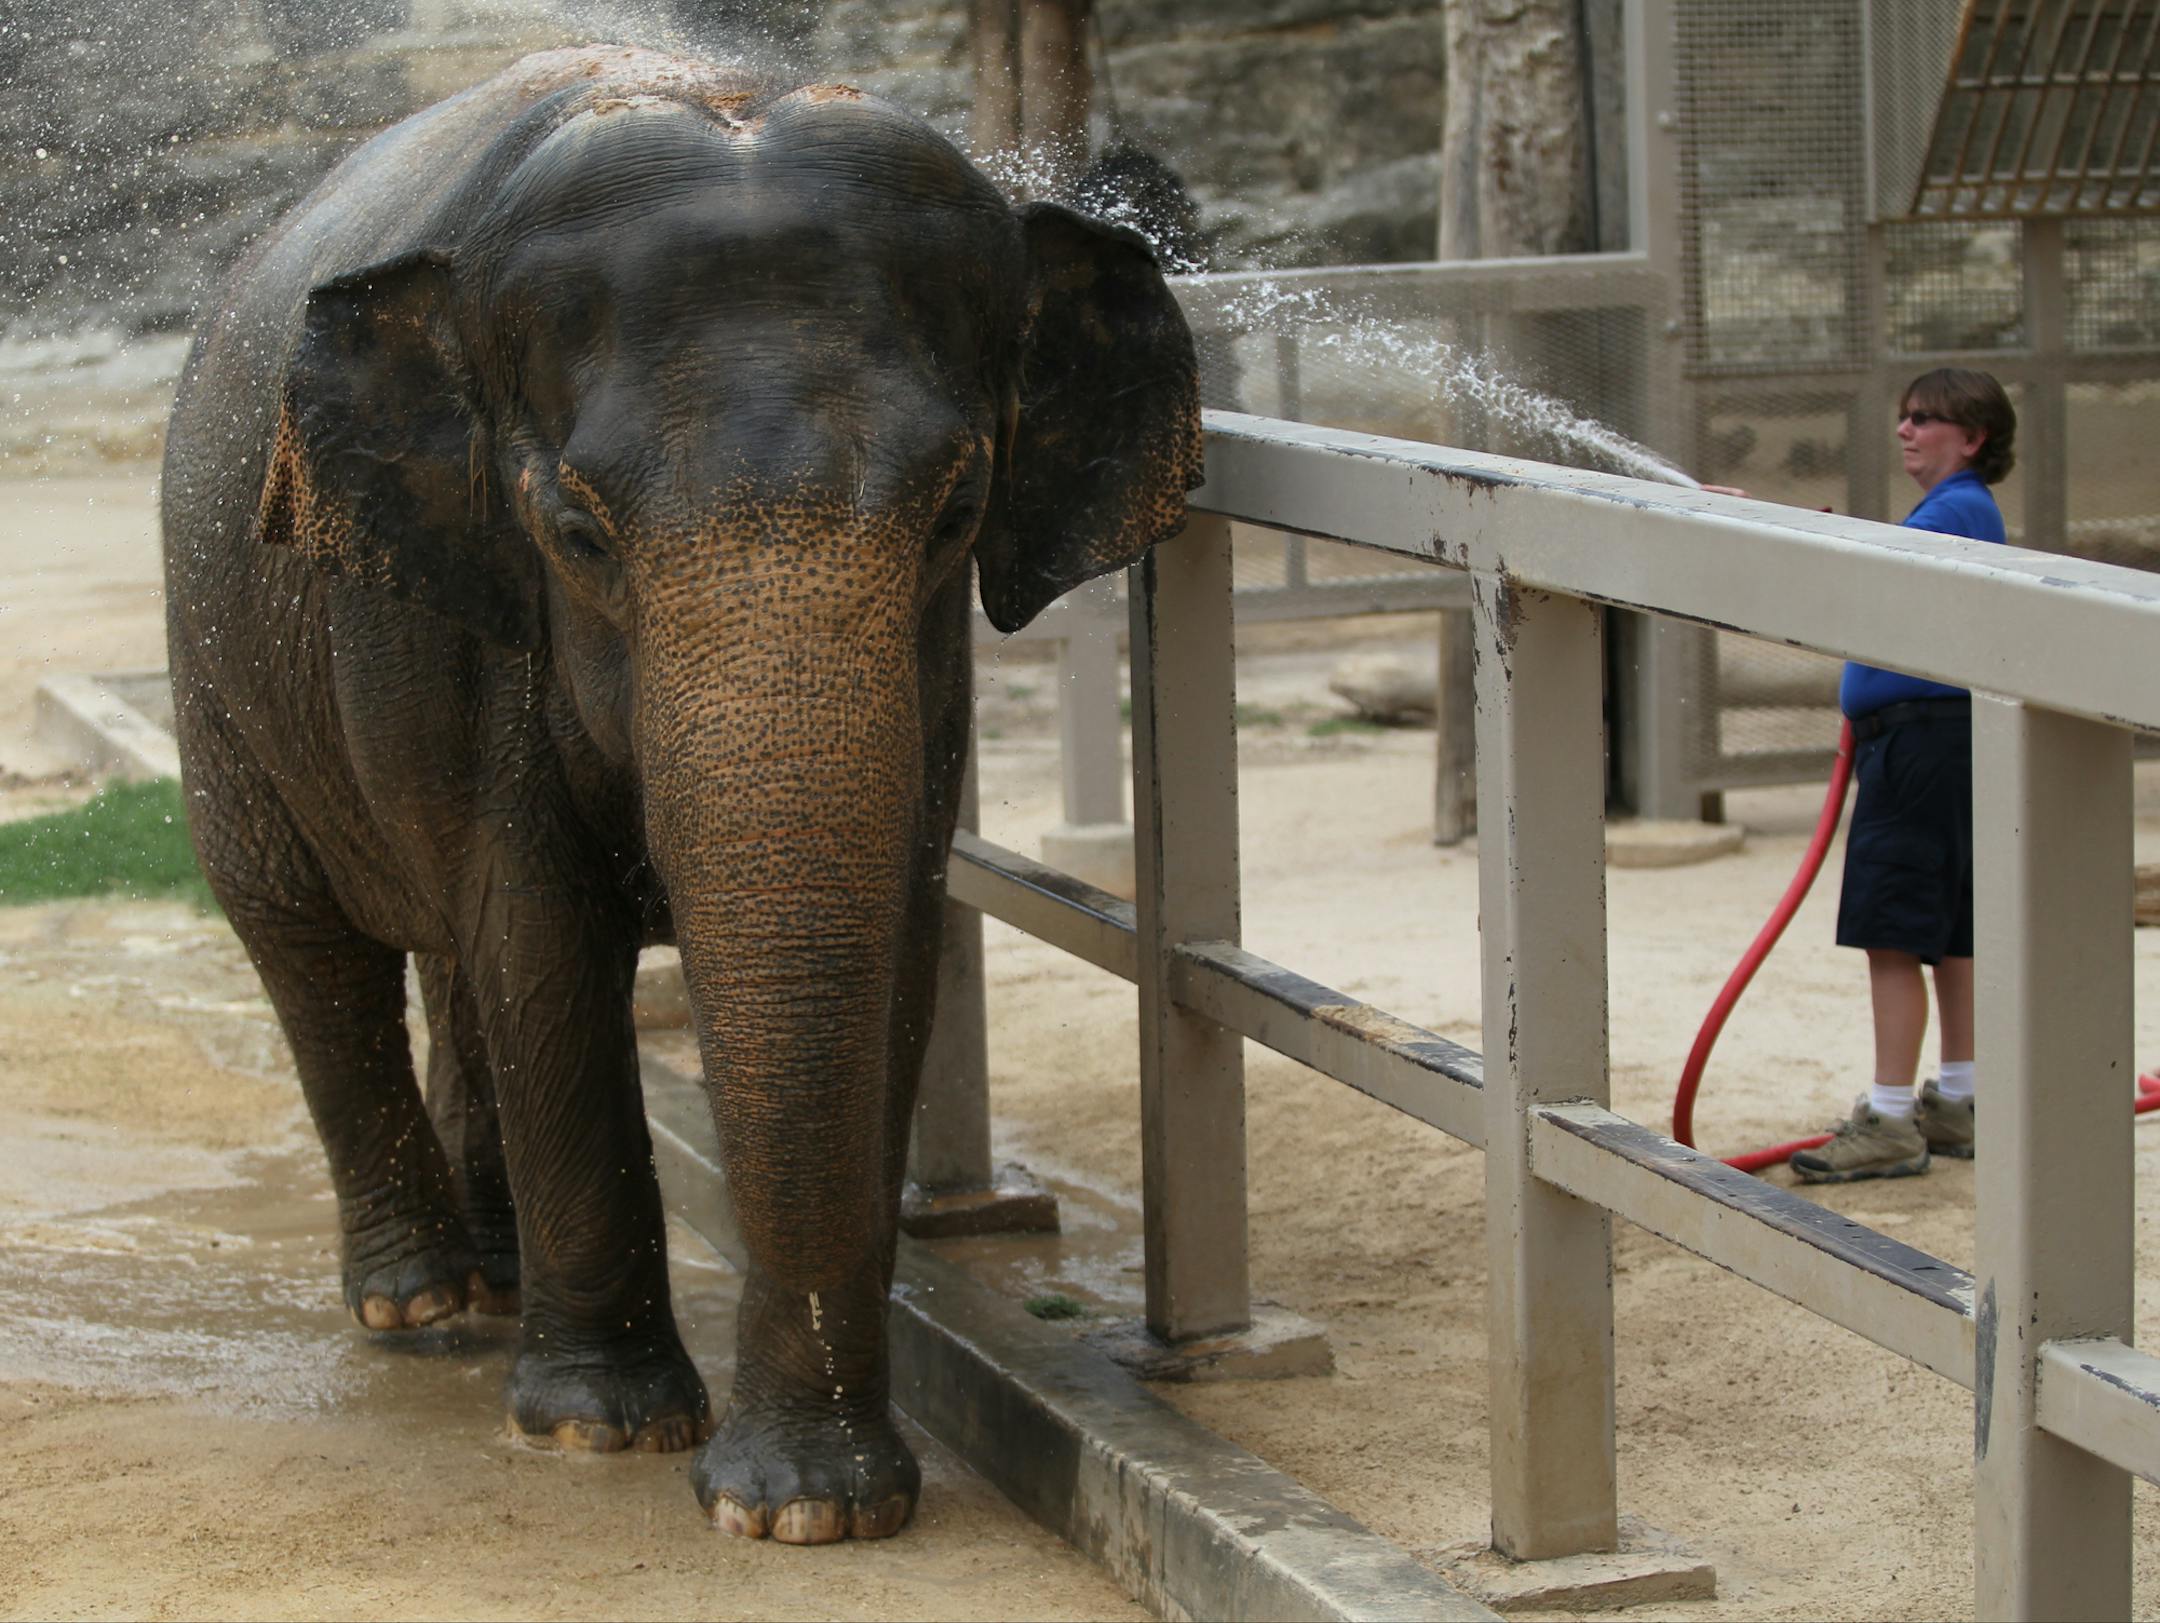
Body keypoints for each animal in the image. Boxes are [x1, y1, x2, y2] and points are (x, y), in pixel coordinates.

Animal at [161, 44, 1202, 1542]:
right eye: (576, 532)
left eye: (956, 515)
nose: (781, 1494)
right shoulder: (455, 622)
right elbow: (541, 943)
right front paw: (604, 1428)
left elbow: (890, 943)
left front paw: (813, 1507)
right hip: (219, 670)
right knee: (311, 943)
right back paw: (420, 1303)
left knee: (451, 969)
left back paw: (493, 1274)